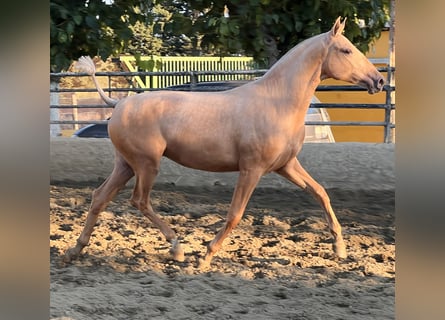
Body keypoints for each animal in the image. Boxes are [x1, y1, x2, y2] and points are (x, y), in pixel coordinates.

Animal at [64, 17, 384, 268]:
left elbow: (321, 193)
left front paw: (340, 249)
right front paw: (207, 256)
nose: (378, 81)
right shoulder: (252, 169)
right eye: (346, 49)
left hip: (126, 165)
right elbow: (235, 214)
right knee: (139, 200)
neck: (277, 102)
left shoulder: (286, 166)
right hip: (146, 164)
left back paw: (76, 249)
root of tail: (117, 104)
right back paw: (177, 248)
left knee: (100, 197)